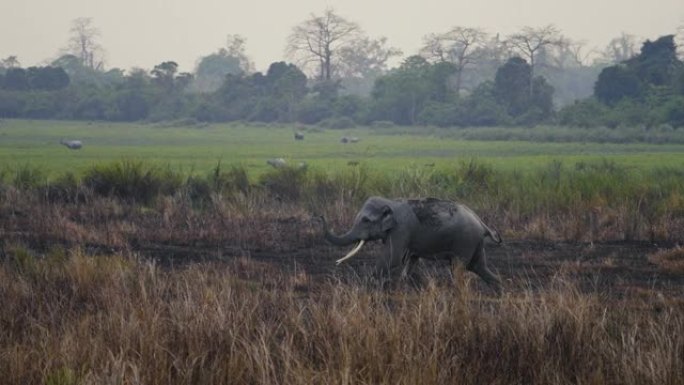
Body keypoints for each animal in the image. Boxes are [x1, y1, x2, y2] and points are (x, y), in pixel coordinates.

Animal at [320, 196, 502, 290]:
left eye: (366, 220)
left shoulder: (401, 229)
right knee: (477, 266)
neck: (390, 202)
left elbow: (392, 258)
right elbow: (410, 259)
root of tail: (482, 223)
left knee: (459, 267)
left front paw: (370, 285)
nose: (320, 216)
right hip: (474, 243)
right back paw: (498, 290)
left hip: (465, 241)